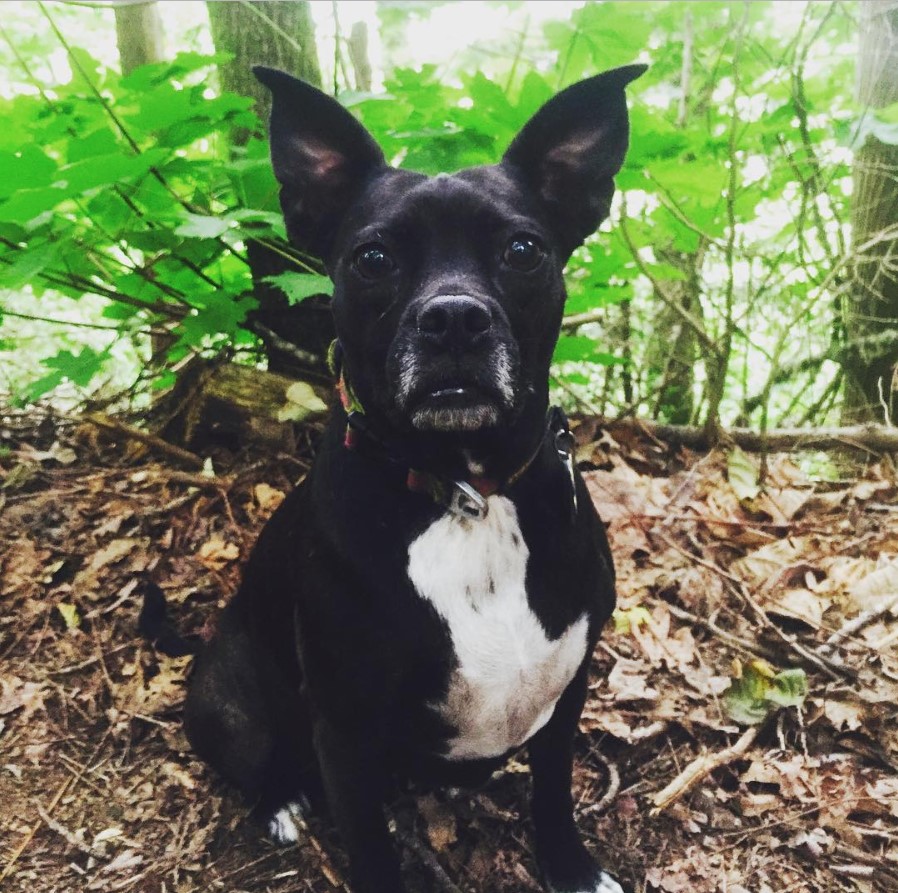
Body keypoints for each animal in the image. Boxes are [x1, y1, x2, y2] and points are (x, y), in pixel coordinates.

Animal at [184, 64, 644, 892]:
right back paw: (281, 800)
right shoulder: (344, 729)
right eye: (372, 258)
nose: (454, 318)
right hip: (226, 703)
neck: (467, 493)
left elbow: (553, 794)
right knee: (258, 757)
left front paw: (571, 867)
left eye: (524, 249)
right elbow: (370, 846)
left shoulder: (569, 688)